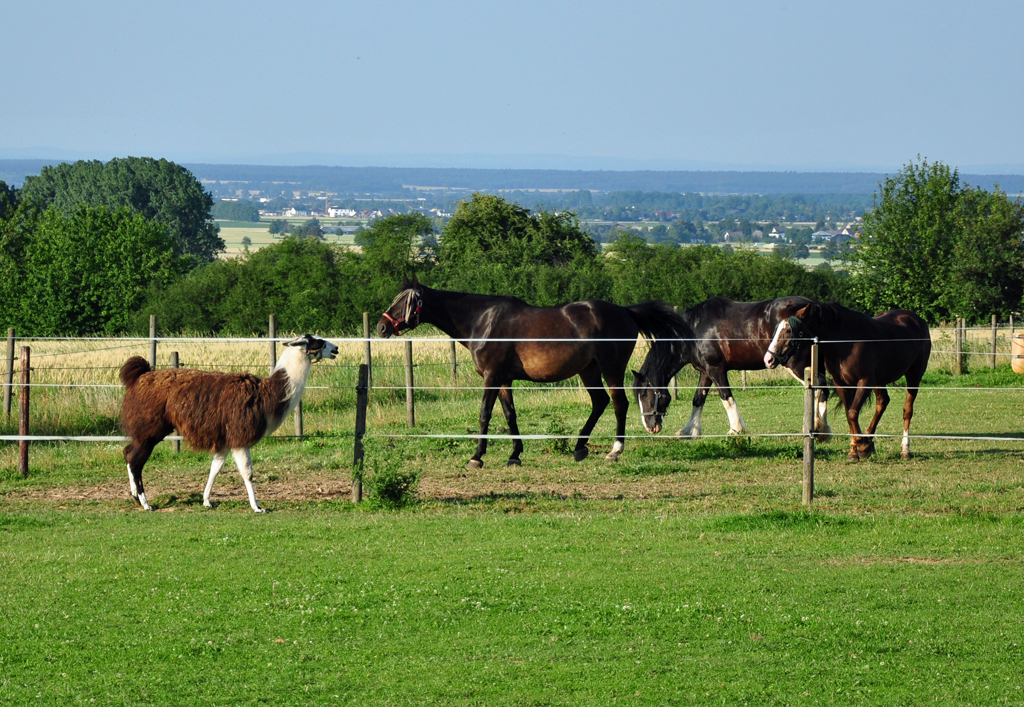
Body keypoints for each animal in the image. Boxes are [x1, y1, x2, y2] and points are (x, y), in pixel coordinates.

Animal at [117, 334, 337, 510]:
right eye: (319, 341)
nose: (336, 348)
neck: (268, 395)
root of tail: (140, 377)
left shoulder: (224, 438)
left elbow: (215, 468)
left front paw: (207, 500)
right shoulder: (240, 436)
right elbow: (248, 473)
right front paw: (257, 507)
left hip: (147, 429)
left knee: (128, 453)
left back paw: (135, 496)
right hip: (150, 428)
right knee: (135, 460)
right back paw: (146, 503)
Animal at [372, 274, 692, 467]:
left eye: (405, 302)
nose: (382, 327)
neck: (482, 321)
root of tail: (625, 311)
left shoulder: (491, 378)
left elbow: (485, 414)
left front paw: (477, 457)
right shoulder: (503, 380)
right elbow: (510, 415)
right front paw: (515, 454)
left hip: (611, 369)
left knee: (618, 403)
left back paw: (614, 450)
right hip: (588, 371)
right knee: (600, 402)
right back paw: (579, 448)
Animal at [630, 295, 831, 438]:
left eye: (644, 394)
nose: (650, 427)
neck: (694, 331)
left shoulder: (716, 370)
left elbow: (726, 397)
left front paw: (736, 429)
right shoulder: (705, 372)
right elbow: (698, 399)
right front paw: (689, 431)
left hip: (797, 364)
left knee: (820, 386)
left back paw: (818, 428)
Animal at [765, 299, 933, 459]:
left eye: (788, 330)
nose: (769, 359)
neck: (845, 343)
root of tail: (917, 319)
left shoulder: (864, 382)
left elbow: (852, 413)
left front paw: (862, 447)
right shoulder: (842, 384)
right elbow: (849, 415)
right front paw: (854, 451)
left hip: (914, 375)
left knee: (907, 410)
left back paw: (905, 449)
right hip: (879, 381)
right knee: (882, 402)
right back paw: (869, 439)